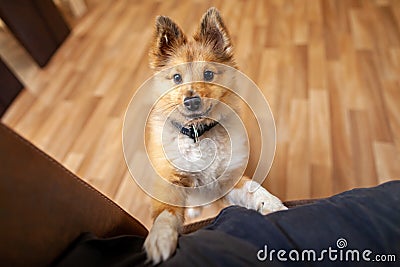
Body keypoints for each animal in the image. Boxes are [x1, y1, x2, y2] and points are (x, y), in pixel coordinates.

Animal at [143, 7, 284, 264]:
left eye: (209, 74)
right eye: (177, 78)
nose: (192, 100)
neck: (197, 133)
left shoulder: (230, 179)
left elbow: (254, 188)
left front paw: (271, 202)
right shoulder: (170, 181)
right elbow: (165, 213)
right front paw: (159, 238)